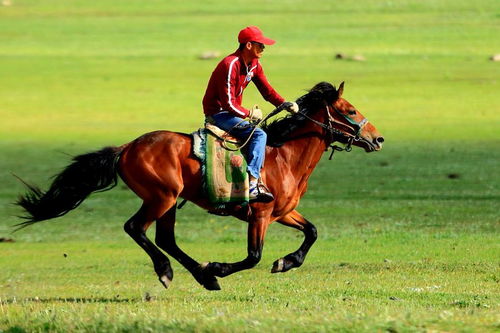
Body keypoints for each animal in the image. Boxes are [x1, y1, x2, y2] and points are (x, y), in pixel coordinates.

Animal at [14, 81, 382, 290]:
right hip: (161, 197)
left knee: (165, 238)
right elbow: (253, 256)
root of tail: (127, 147)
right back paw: (172, 271)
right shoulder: (261, 214)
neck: (283, 155)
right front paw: (219, 266)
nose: (377, 138)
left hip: (168, 202)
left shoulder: (284, 212)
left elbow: (312, 232)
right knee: (136, 228)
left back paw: (202, 277)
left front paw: (286, 262)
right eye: (350, 110)